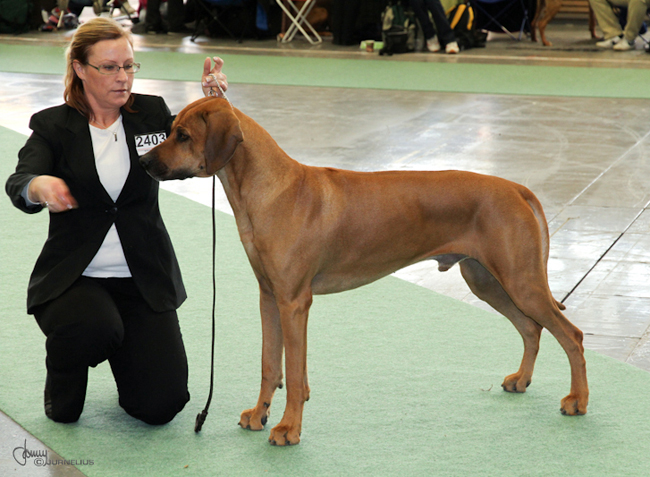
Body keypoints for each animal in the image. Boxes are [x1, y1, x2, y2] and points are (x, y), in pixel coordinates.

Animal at [140, 97, 588, 446]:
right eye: (170, 130)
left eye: (183, 136)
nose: (143, 162)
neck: (273, 190)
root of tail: (515, 187)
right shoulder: (269, 297)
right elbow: (271, 364)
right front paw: (259, 413)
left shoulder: (294, 302)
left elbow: (295, 375)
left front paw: (288, 428)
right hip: (486, 280)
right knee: (531, 327)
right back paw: (522, 380)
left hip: (520, 280)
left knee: (572, 335)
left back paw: (578, 401)